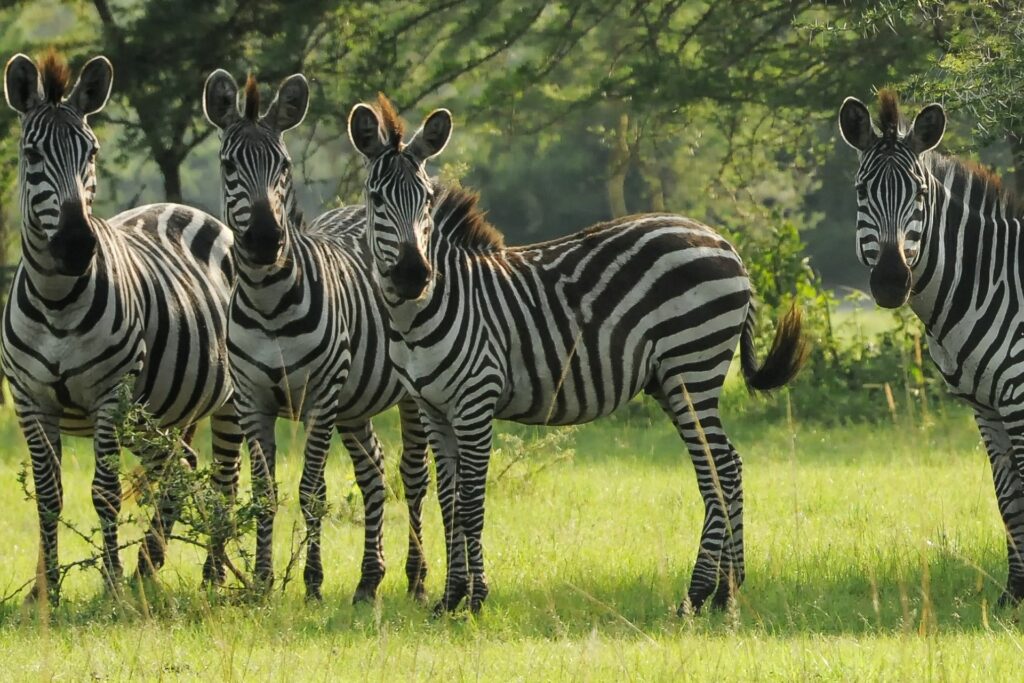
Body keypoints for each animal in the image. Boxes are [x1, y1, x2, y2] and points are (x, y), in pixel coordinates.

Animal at [2, 52, 242, 603]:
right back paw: (148, 567)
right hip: (158, 414)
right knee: (180, 468)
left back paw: (210, 577)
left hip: (228, 399)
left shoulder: (110, 394)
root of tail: (186, 208)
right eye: (31, 153)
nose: (75, 244)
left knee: (224, 477)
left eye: (90, 152)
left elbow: (105, 492)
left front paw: (110, 585)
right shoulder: (29, 400)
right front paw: (43, 593)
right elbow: (48, 495)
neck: (55, 300)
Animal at [203, 71, 431, 602]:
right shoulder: (252, 398)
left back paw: (415, 577)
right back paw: (369, 581)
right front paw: (263, 581)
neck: (268, 301)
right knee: (373, 471)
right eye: (228, 165)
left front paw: (311, 582)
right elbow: (264, 491)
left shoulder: (321, 393)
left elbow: (311, 491)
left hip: (404, 394)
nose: (266, 239)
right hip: (356, 401)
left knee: (412, 476)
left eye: (283, 166)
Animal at [346, 95, 807, 614]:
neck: (423, 313)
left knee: (721, 470)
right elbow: (448, 500)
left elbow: (471, 503)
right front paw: (450, 598)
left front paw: (476, 598)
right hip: (674, 381)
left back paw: (700, 593)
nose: (413, 275)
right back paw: (726, 591)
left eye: (425, 199)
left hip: (693, 365)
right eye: (376, 199)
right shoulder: (433, 409)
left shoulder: (476, 401)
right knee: (727, 464)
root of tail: (723, 241)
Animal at [839, 90, 1024, 607]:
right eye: (861, 193)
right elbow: (1008, 496)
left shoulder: (1019, 396)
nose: (889, 281)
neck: (989, 281)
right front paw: (1014, 596)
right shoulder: (987, 407)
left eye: (920, 195)